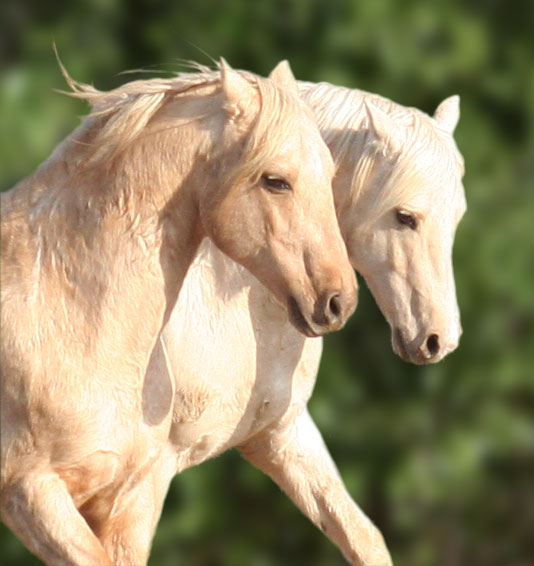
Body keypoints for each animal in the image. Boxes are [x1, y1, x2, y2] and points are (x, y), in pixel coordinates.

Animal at [2, 62, 360, 566]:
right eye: (275, 180)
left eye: (329, 172)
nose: (338, 300)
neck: (66, 313)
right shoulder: (32, 493)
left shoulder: (130, 497)